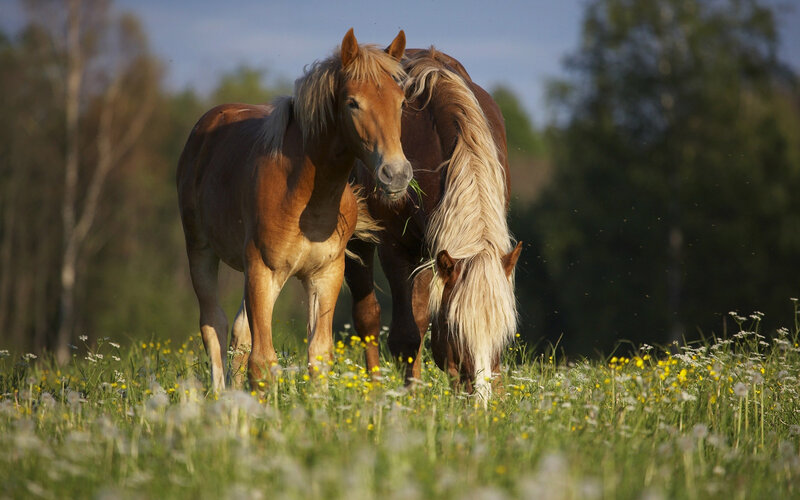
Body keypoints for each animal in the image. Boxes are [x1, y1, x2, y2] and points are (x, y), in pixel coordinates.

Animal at [177, 29, 411, 392]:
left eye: (401, 102)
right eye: (353, 103)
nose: (396, 174)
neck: (304, 196)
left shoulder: (325, 274)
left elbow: (319, 355)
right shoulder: (263, 269)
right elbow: (262, 361)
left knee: (239, 332)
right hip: (202, 251)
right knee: (213, 325)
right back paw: (219, 394)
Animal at [345, 48, 522, 400]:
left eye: (505, 333)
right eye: (457, 329)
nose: (481, 400)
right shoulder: (396, 248)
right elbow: (405, 337)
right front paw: (411, 401)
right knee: (368, 317)